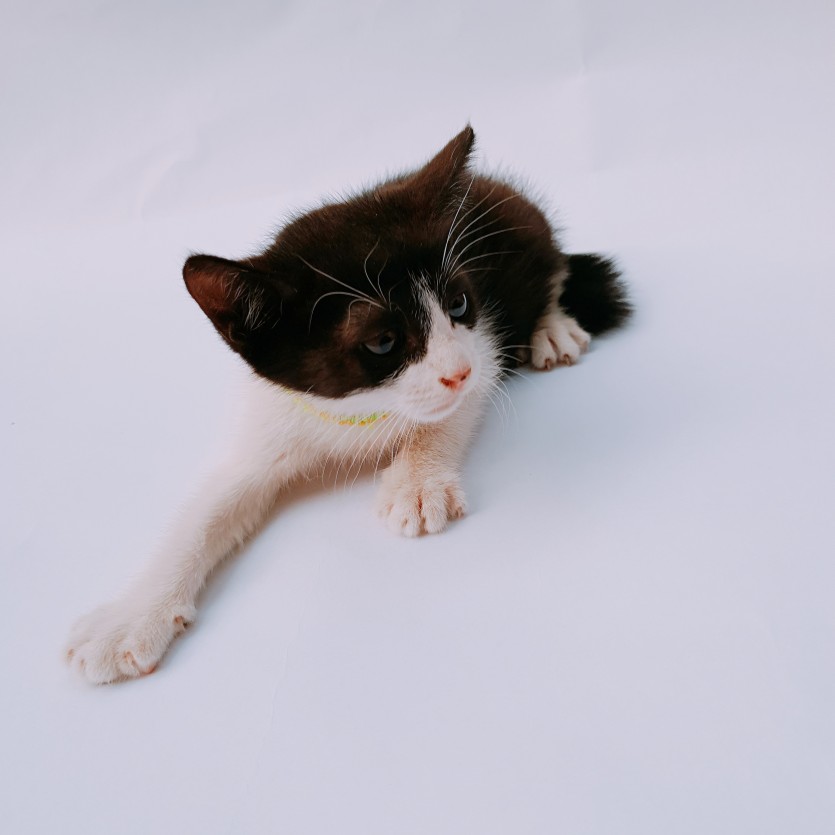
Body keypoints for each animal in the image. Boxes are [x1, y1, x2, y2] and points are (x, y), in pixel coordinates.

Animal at [66, 126, 630, 684]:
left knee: (554, 270)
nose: (458, 372)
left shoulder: (482, 345)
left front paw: (417, 482)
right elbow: (209, 509)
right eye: (382, 343)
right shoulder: (273, 416)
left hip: (529, 227)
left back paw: (551, 329)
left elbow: (453, 410)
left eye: (458, 304)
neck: (358, 411)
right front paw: (130, 617)